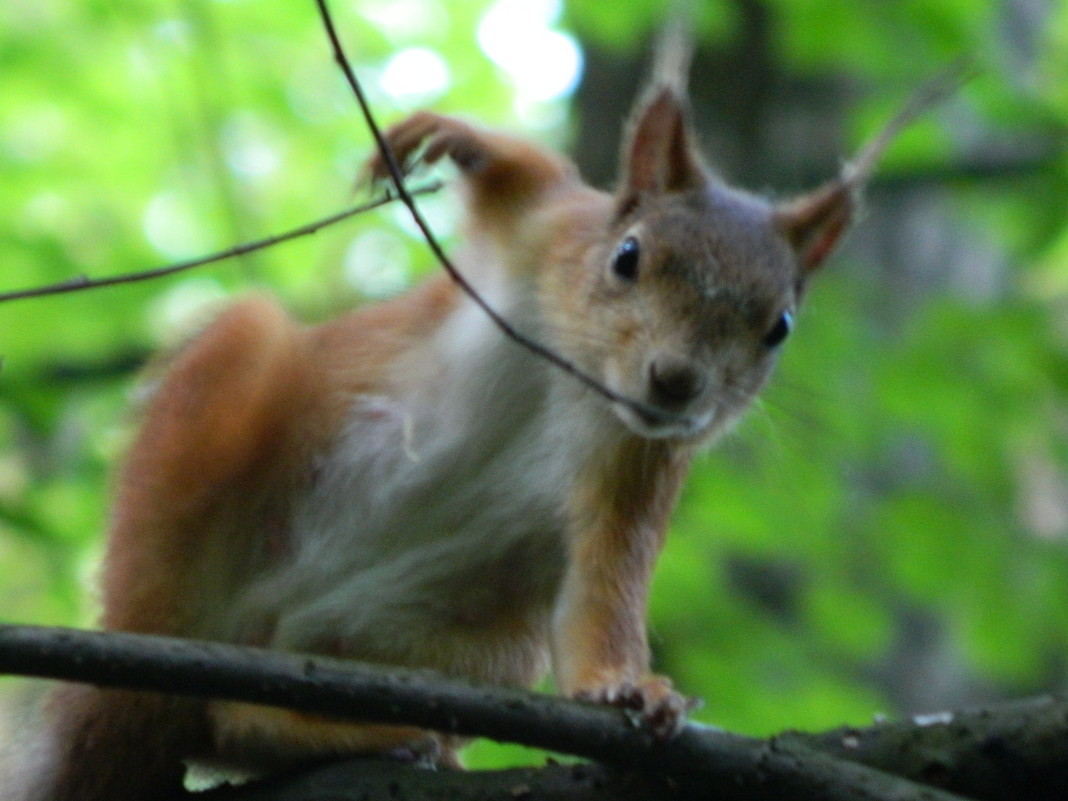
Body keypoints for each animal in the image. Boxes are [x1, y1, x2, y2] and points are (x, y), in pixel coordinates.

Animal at [20, 42, 897, 801]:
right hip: (213, 419)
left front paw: (629, 688)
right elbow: (526, 174)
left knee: (227, 722)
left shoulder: (637, 459)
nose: (676, 382)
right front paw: (443, 137)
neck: (573, 373)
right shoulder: (550, 223)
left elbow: (604, 586)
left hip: (471, 644)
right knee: (160, 600)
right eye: (627, 255)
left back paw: (356, 732)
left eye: (780, 326)